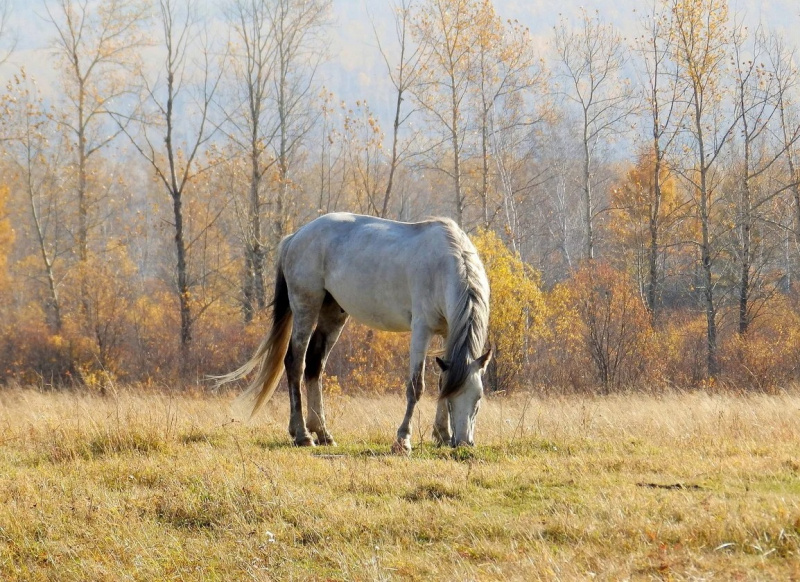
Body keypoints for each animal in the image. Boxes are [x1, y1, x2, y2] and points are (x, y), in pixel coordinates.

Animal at [219, 212, 491, 452]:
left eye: (478, 398)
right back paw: (303, 435)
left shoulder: (447, 333)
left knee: (314, 365)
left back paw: (323, 433)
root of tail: (296, 236)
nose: (463, 443)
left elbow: (442, 380)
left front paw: (442, 435)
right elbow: (416, 386)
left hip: (333, 314)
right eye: (455, 402)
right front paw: (403, 440)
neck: (443, 266)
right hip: (306, 307)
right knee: (295, 364)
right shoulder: (421, 330)